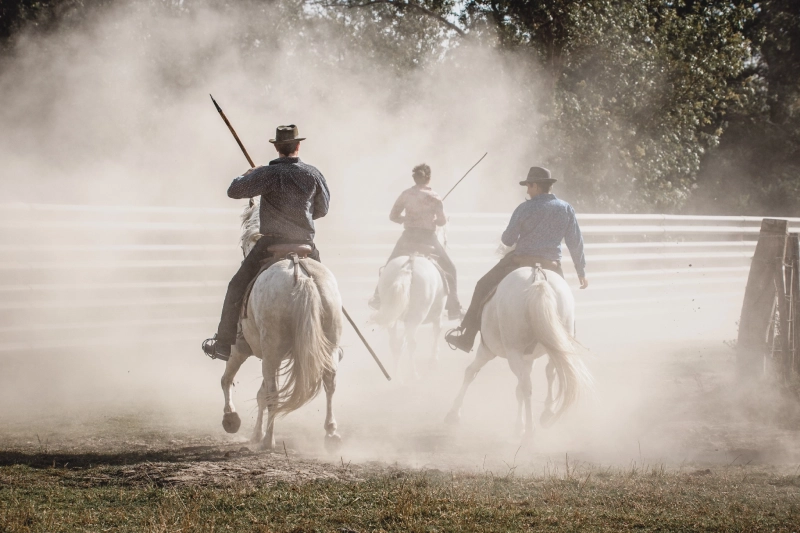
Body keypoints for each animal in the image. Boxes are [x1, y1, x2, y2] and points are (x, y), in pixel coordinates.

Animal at [219, 197, 344, 450]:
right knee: (329, 382)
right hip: (328, 345)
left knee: (273, 394)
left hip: (271, 352)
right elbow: (259, 393)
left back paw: (269, 441)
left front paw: (231, 419)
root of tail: (302, 277)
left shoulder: (240, 348)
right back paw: (331, 434)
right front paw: (254, 434)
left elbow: (227, 380)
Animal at [444, 264, 592, 436]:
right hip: (557, 343)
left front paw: (453, 413)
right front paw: (518, 425)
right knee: (550, 373)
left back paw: (530, 430)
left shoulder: (487, 350)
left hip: (512, 353)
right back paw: (547, 412)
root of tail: (538, 280)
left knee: (527, 386)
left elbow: (470, 372)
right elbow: (519, 389)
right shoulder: (528, 359)